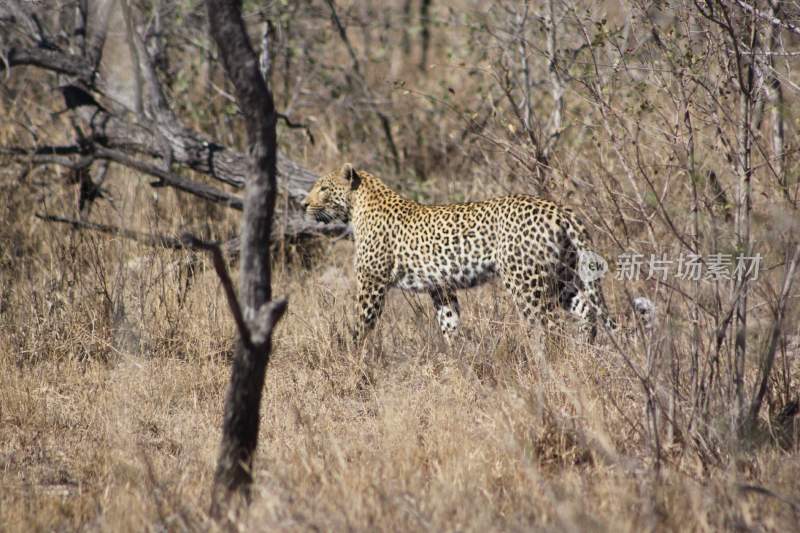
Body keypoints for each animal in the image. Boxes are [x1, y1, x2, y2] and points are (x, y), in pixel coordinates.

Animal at [304, 164, 616, 342]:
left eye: (323, 189)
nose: (304, 204)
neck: (358, 206)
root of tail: (559, 209)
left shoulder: (371, 283)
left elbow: (362, 325)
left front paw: (353, 359)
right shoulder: (440, 287)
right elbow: (449, 323)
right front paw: (457, 361)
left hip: (525, 281)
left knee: (548, 325)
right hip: (562, 275)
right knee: (587, 310)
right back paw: (584, 352)